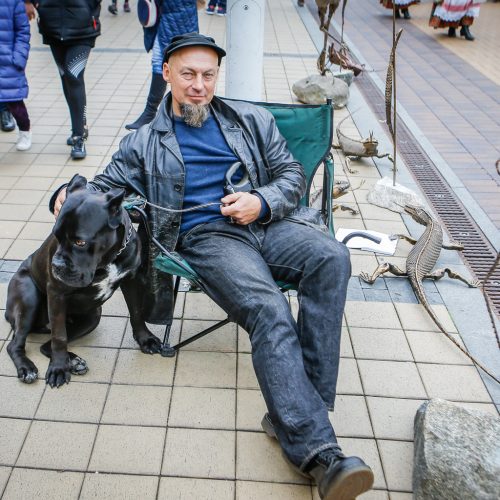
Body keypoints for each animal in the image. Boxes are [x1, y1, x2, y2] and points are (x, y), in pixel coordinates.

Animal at [5, 175, 162, 386]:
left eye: (80, 242)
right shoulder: (56, 294)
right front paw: (58, 368)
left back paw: (73, 362)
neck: (109, 259)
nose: (56, 266)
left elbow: (136, 313)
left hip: (93, 316)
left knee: (46, 345)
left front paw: (145, 339)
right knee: (16, 344)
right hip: (28, 299)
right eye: (56, 235)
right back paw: (28, 368)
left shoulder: (132, 280)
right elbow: (59, 336)